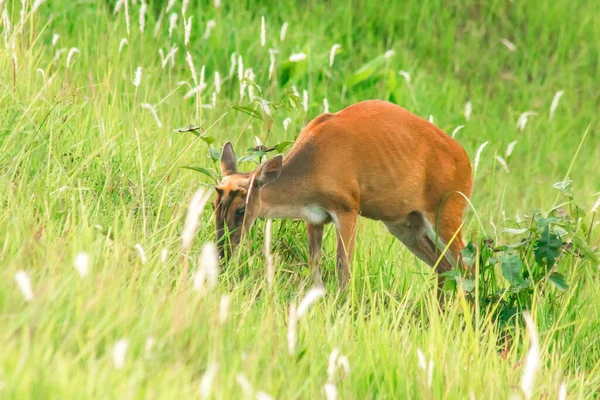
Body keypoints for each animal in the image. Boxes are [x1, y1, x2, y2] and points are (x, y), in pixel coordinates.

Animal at [213, 99, 472, 288]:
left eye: (241, 210)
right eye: (213, 205)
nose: (222, 255)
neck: (313, 166)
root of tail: (467, 163)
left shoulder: (347, 206)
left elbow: (343, 267)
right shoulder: (313, 217)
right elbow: (314, 264)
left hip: (447, 211)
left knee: (467, 267)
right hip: (405, 224)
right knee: (444, 268)